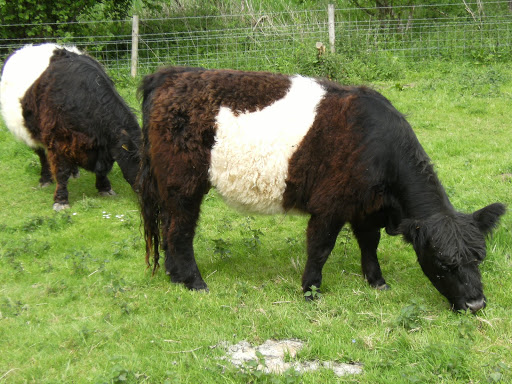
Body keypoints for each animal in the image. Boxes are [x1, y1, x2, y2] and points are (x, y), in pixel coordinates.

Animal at [0, 44, 140, 212]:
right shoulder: (57, 140)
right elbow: (61, 171)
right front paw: (61, 200)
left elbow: (102, 171)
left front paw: (105, 188)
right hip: (30, 132)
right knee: (41, 155)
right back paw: (45, 179)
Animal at [138, 66, 506, 312]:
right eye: (443, 262)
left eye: (479, 257)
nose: (477, 304)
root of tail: (170, 74)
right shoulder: (331, 204)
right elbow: (320, 248)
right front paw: (310, 290)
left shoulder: (366, 206)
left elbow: (369, 245)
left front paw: (377, 282)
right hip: (184, 183)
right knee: (181, 232)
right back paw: (195, 283)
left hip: (168, 186)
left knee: (168, 228)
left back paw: (174, 276)